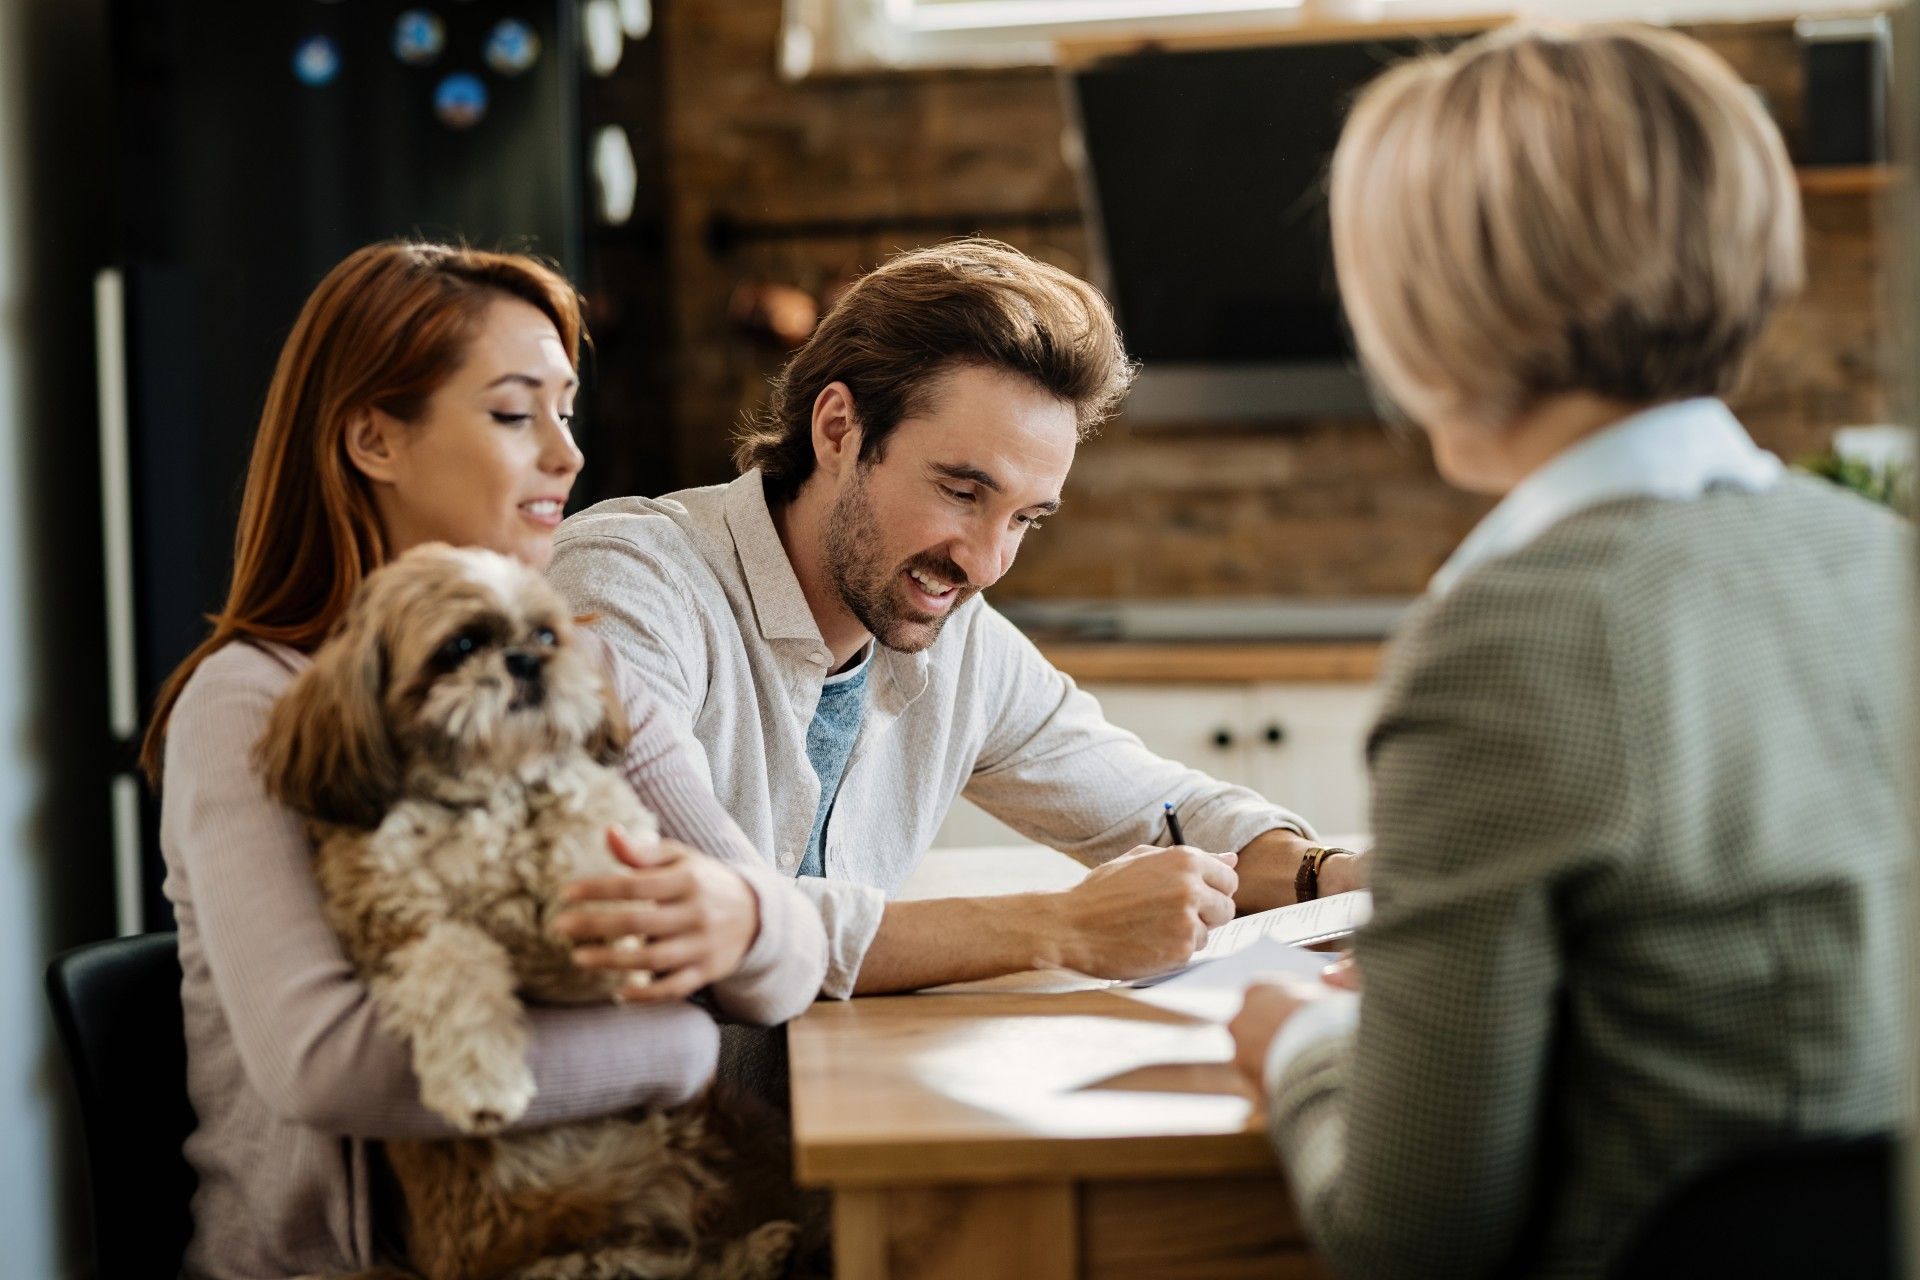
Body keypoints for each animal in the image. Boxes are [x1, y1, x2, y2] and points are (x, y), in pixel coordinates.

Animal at [255, 545, 794, 1280]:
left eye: (545, 634)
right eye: (459, 646)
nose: (524, 660)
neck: (485, 796)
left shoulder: (596, 812)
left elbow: (585, 808)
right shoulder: (392, 929)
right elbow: (452, 960)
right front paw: (481, 1080)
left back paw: (762, 1246)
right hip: (569, 1252)